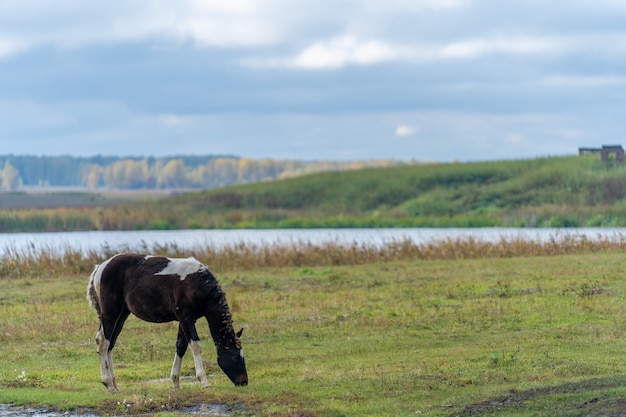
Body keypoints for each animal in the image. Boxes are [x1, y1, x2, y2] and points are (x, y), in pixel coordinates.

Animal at [86, 252, 247, 392]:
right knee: (103, 341)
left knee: (111, 343)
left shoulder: (187, 319)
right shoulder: (186, 317)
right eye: (235, 356)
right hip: (110, 312)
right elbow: (195, 345)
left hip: (122, 314)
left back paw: (114, 384)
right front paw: (204, 382)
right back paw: (109, 384)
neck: (197, 283)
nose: (244, 381)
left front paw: (176, 382)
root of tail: (100, 267)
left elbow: (181, 346)